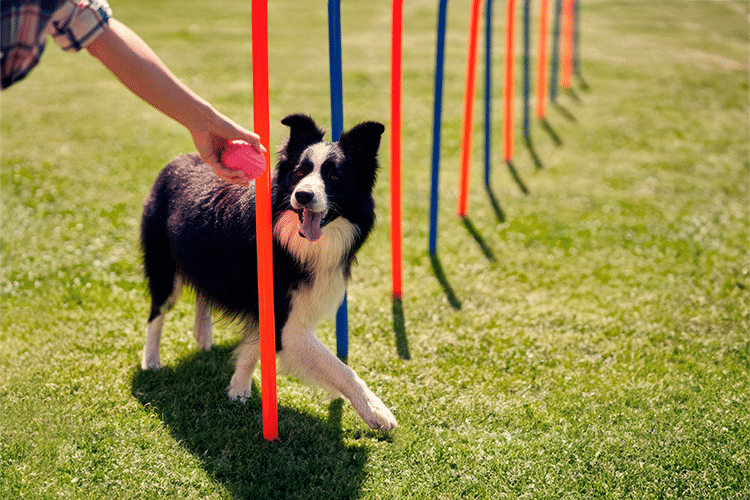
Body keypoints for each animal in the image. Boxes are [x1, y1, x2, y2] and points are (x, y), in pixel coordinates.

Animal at [141, 114, 400, 430]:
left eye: (335, 177)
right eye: (299, 172)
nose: (303, 195)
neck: (292, 242)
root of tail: (177, 160)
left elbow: (255, 346)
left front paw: (238, 388)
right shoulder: (286, 320)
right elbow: (339, 368)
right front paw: (376, 410)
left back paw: (203, 336)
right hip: (163, 264)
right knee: (157, 311)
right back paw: (151, 360)